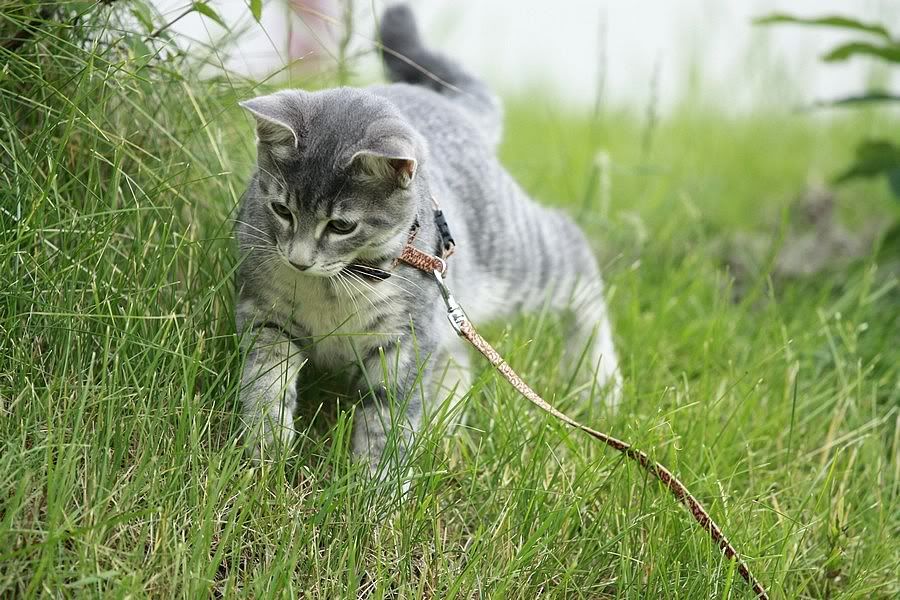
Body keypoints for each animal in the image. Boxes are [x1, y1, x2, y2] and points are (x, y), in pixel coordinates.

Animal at [236, 5, 624, 474]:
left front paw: (375, 484)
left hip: (514, 257)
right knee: (457, 360)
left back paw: (599, 381)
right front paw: (264, 452)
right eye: (281, 210)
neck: (335, 285)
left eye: (342, 226)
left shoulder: (406, 341)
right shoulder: (265, 314)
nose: (298, 260)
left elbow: (387, 418)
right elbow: (265, 384)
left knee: (574, 248)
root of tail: (454, 105)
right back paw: (447, 423)